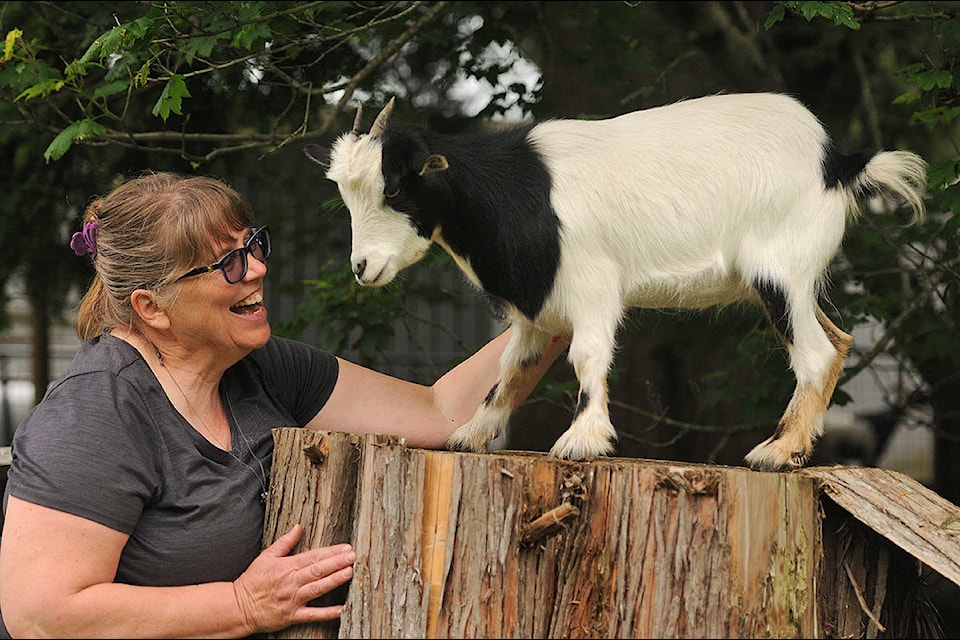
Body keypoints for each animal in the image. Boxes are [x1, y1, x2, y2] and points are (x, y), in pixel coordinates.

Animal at [304, 91, 928, 470]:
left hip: (776, 270)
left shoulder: (593, 285)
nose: (362, 267)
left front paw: (582, 440)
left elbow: (586, 357)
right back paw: (796, 448)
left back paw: (776, 452)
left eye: (395, 187)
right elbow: (511, 369)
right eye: (347, 194)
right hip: (792, 281)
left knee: (816, 353)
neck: (511, 192)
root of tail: (837, 163)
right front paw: (473, 434)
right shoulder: (536, 310)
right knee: (837, 340)